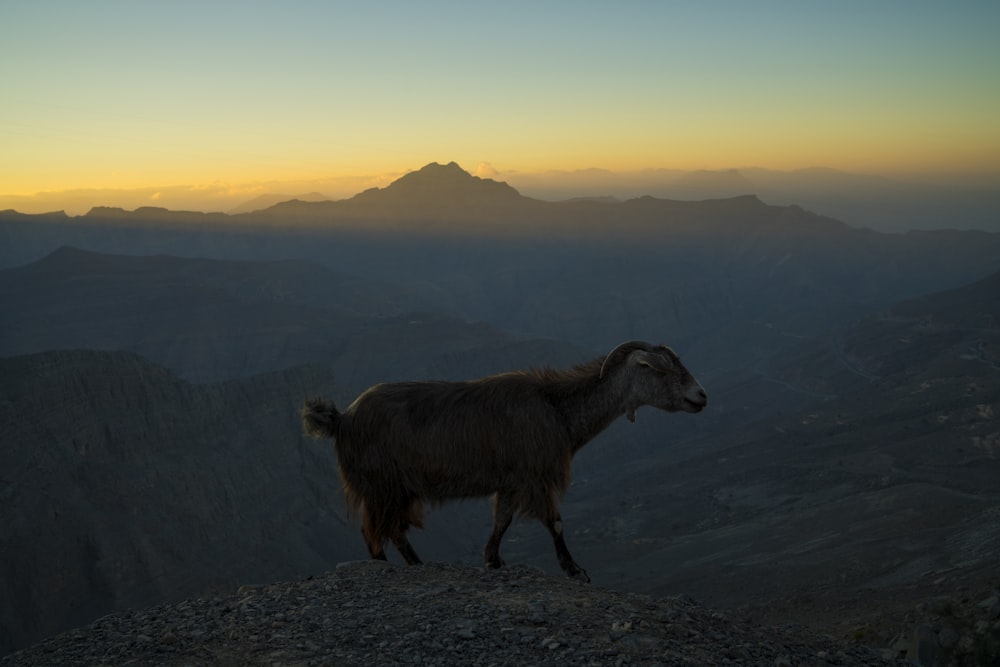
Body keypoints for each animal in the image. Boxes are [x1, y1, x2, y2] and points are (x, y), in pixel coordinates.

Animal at [300, 342, 708, 580]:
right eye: (657, 369)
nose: (700, 396)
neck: (557, 408)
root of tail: (342, 419)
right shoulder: (536, 476)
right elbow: (555, 522)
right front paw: (575, 569)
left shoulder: (511, 481)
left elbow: (503, 520)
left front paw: (493, 560)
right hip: (381, 484)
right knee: (375, 530)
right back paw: (387, 565)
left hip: (396, 488)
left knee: (393, 529)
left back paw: (416, 563)